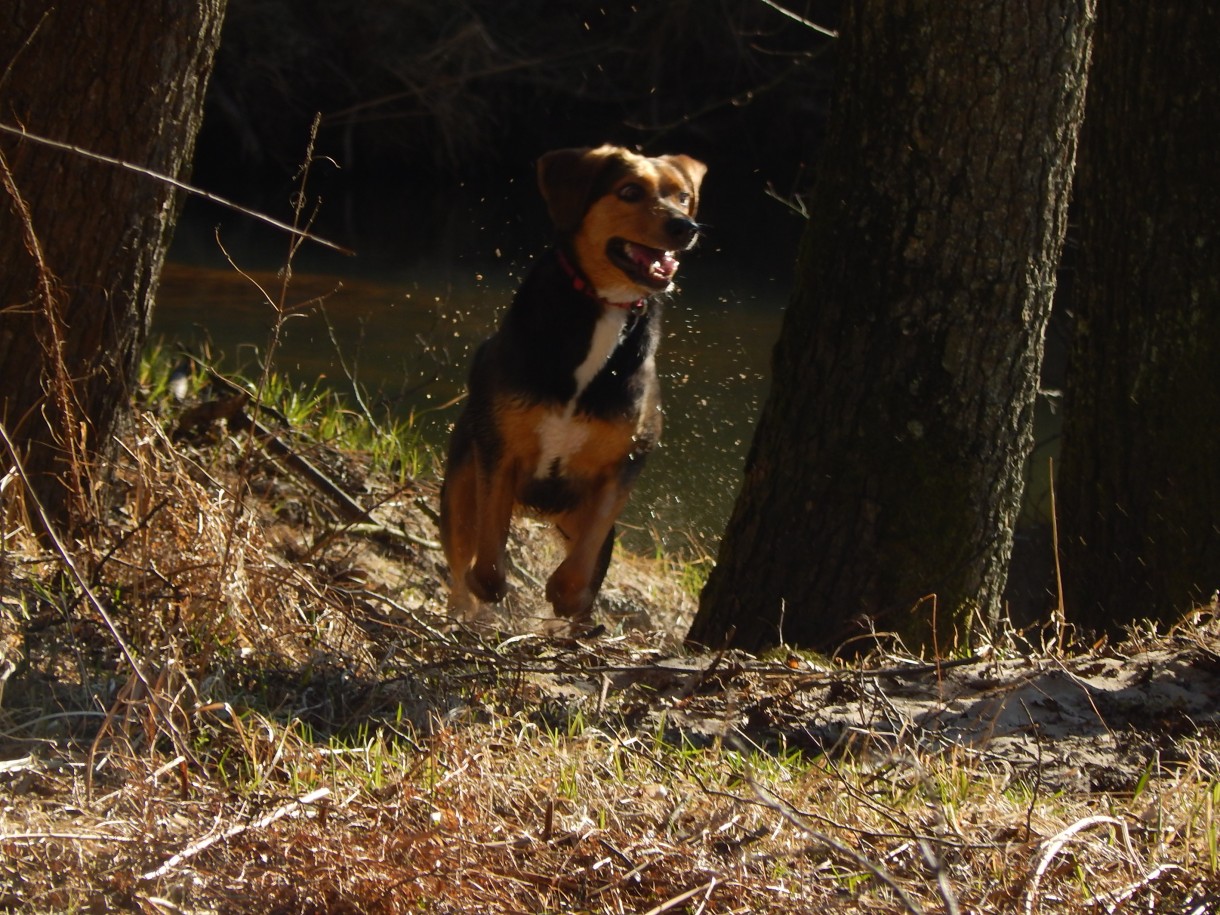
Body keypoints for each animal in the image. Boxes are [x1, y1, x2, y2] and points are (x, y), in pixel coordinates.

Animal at [439, 145, 707, 629]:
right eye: (629, 191)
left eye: (682, 196)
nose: (686, 227)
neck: (605, 305)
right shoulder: (498, 451)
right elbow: (487, 555)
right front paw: (488, 590)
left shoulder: (625, 462)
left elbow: (582, 563)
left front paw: (566, 599)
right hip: (458, 488)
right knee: (459, 557)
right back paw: (463, 612)